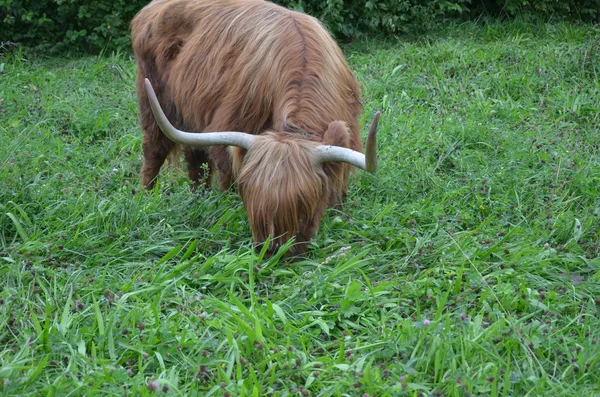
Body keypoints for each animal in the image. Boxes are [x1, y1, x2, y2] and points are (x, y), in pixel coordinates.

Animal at [134, 0, 382, 254]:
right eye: (250, 198)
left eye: (304, 205)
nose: (273, 251)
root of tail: (152, 8)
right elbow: (227, 176)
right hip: (153, 98)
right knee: (154, 149)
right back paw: (147, 199)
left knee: (195, 158)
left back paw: (198, 197)